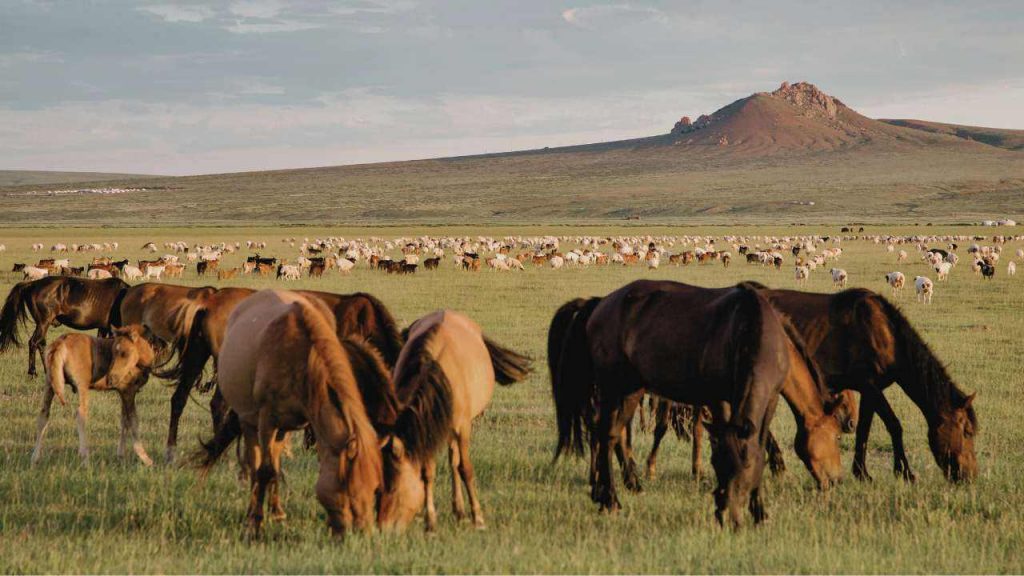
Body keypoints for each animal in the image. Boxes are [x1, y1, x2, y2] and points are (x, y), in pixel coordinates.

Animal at [1, 274, 129, 375]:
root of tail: (32, 284)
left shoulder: (103, 328)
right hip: (43, 323)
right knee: (33, 342)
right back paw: (33, 372)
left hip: (43, 324)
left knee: (41, 344)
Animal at [29, 325, 156, 463]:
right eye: (114, 352)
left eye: (124, 353)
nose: (110, 379)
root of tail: (60, 343)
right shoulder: (128, 390)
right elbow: (133, 420)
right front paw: (145, 457)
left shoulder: (122, 392)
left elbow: (124, 420)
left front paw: (120, 455)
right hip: (82, 385)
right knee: (81, 414)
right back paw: (85, 457)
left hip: (50, 383)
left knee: (43, 414)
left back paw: (35, 457)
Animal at [192, 289, 385, 537]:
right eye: (349, 489)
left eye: (374, 488)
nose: (364, 534)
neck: (301, 356)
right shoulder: (267, 421)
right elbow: (264, 471)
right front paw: (255, 523)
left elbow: (276, 467)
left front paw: (275, 514)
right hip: (250, 422)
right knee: (256, 465)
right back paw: (253, 512)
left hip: (283, 428)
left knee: (274, 462)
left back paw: (276, 510)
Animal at [380, 311, 532, 532]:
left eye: (392, 487)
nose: (383, 527)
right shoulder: (429, 429)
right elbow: (428, 472)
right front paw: (430, 521)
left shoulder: (463, 428)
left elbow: (465, 469)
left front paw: (478, 517)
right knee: (452, 460)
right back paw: (458, 510)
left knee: (456, 462)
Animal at [765, 286, 978, 479]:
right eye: (967, 432)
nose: (969, 476)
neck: (887, 334)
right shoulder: (870, 386)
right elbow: (894, 425)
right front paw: (904, 471)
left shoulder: (869, 391)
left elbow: (863, 430)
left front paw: (861, 473)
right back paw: (777, 465)